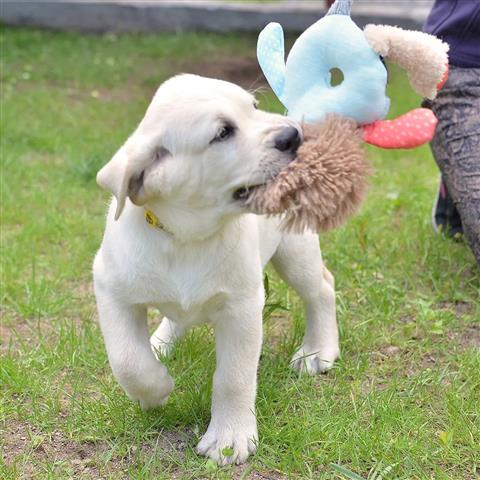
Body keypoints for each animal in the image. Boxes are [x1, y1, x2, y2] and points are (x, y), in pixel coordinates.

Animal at [94, 76, 340, 464]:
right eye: (223, 133)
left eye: (254, 107)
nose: (293, 134)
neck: (186, 237)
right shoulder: (110, 289)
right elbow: (128, 359)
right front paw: (156, 389)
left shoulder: (242, 306)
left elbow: (233, 377)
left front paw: (229, 437)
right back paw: (159, 344)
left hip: (294, 249)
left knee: (322, 289)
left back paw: (317, 352)